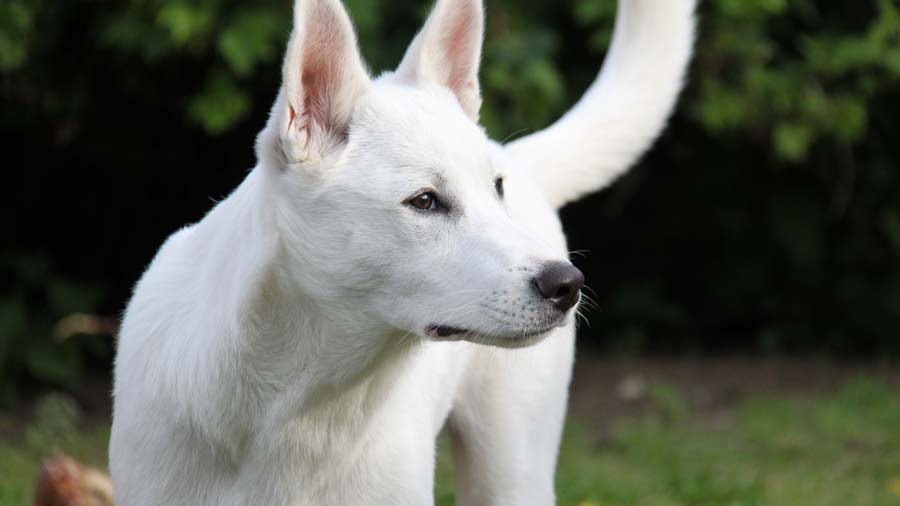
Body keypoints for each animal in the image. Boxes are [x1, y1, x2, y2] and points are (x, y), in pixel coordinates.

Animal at [109, 0, 692, 502]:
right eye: (425, 201)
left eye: (496, 188)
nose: (566, 285)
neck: (300, 402)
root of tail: (517, 153)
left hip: (511, 469)